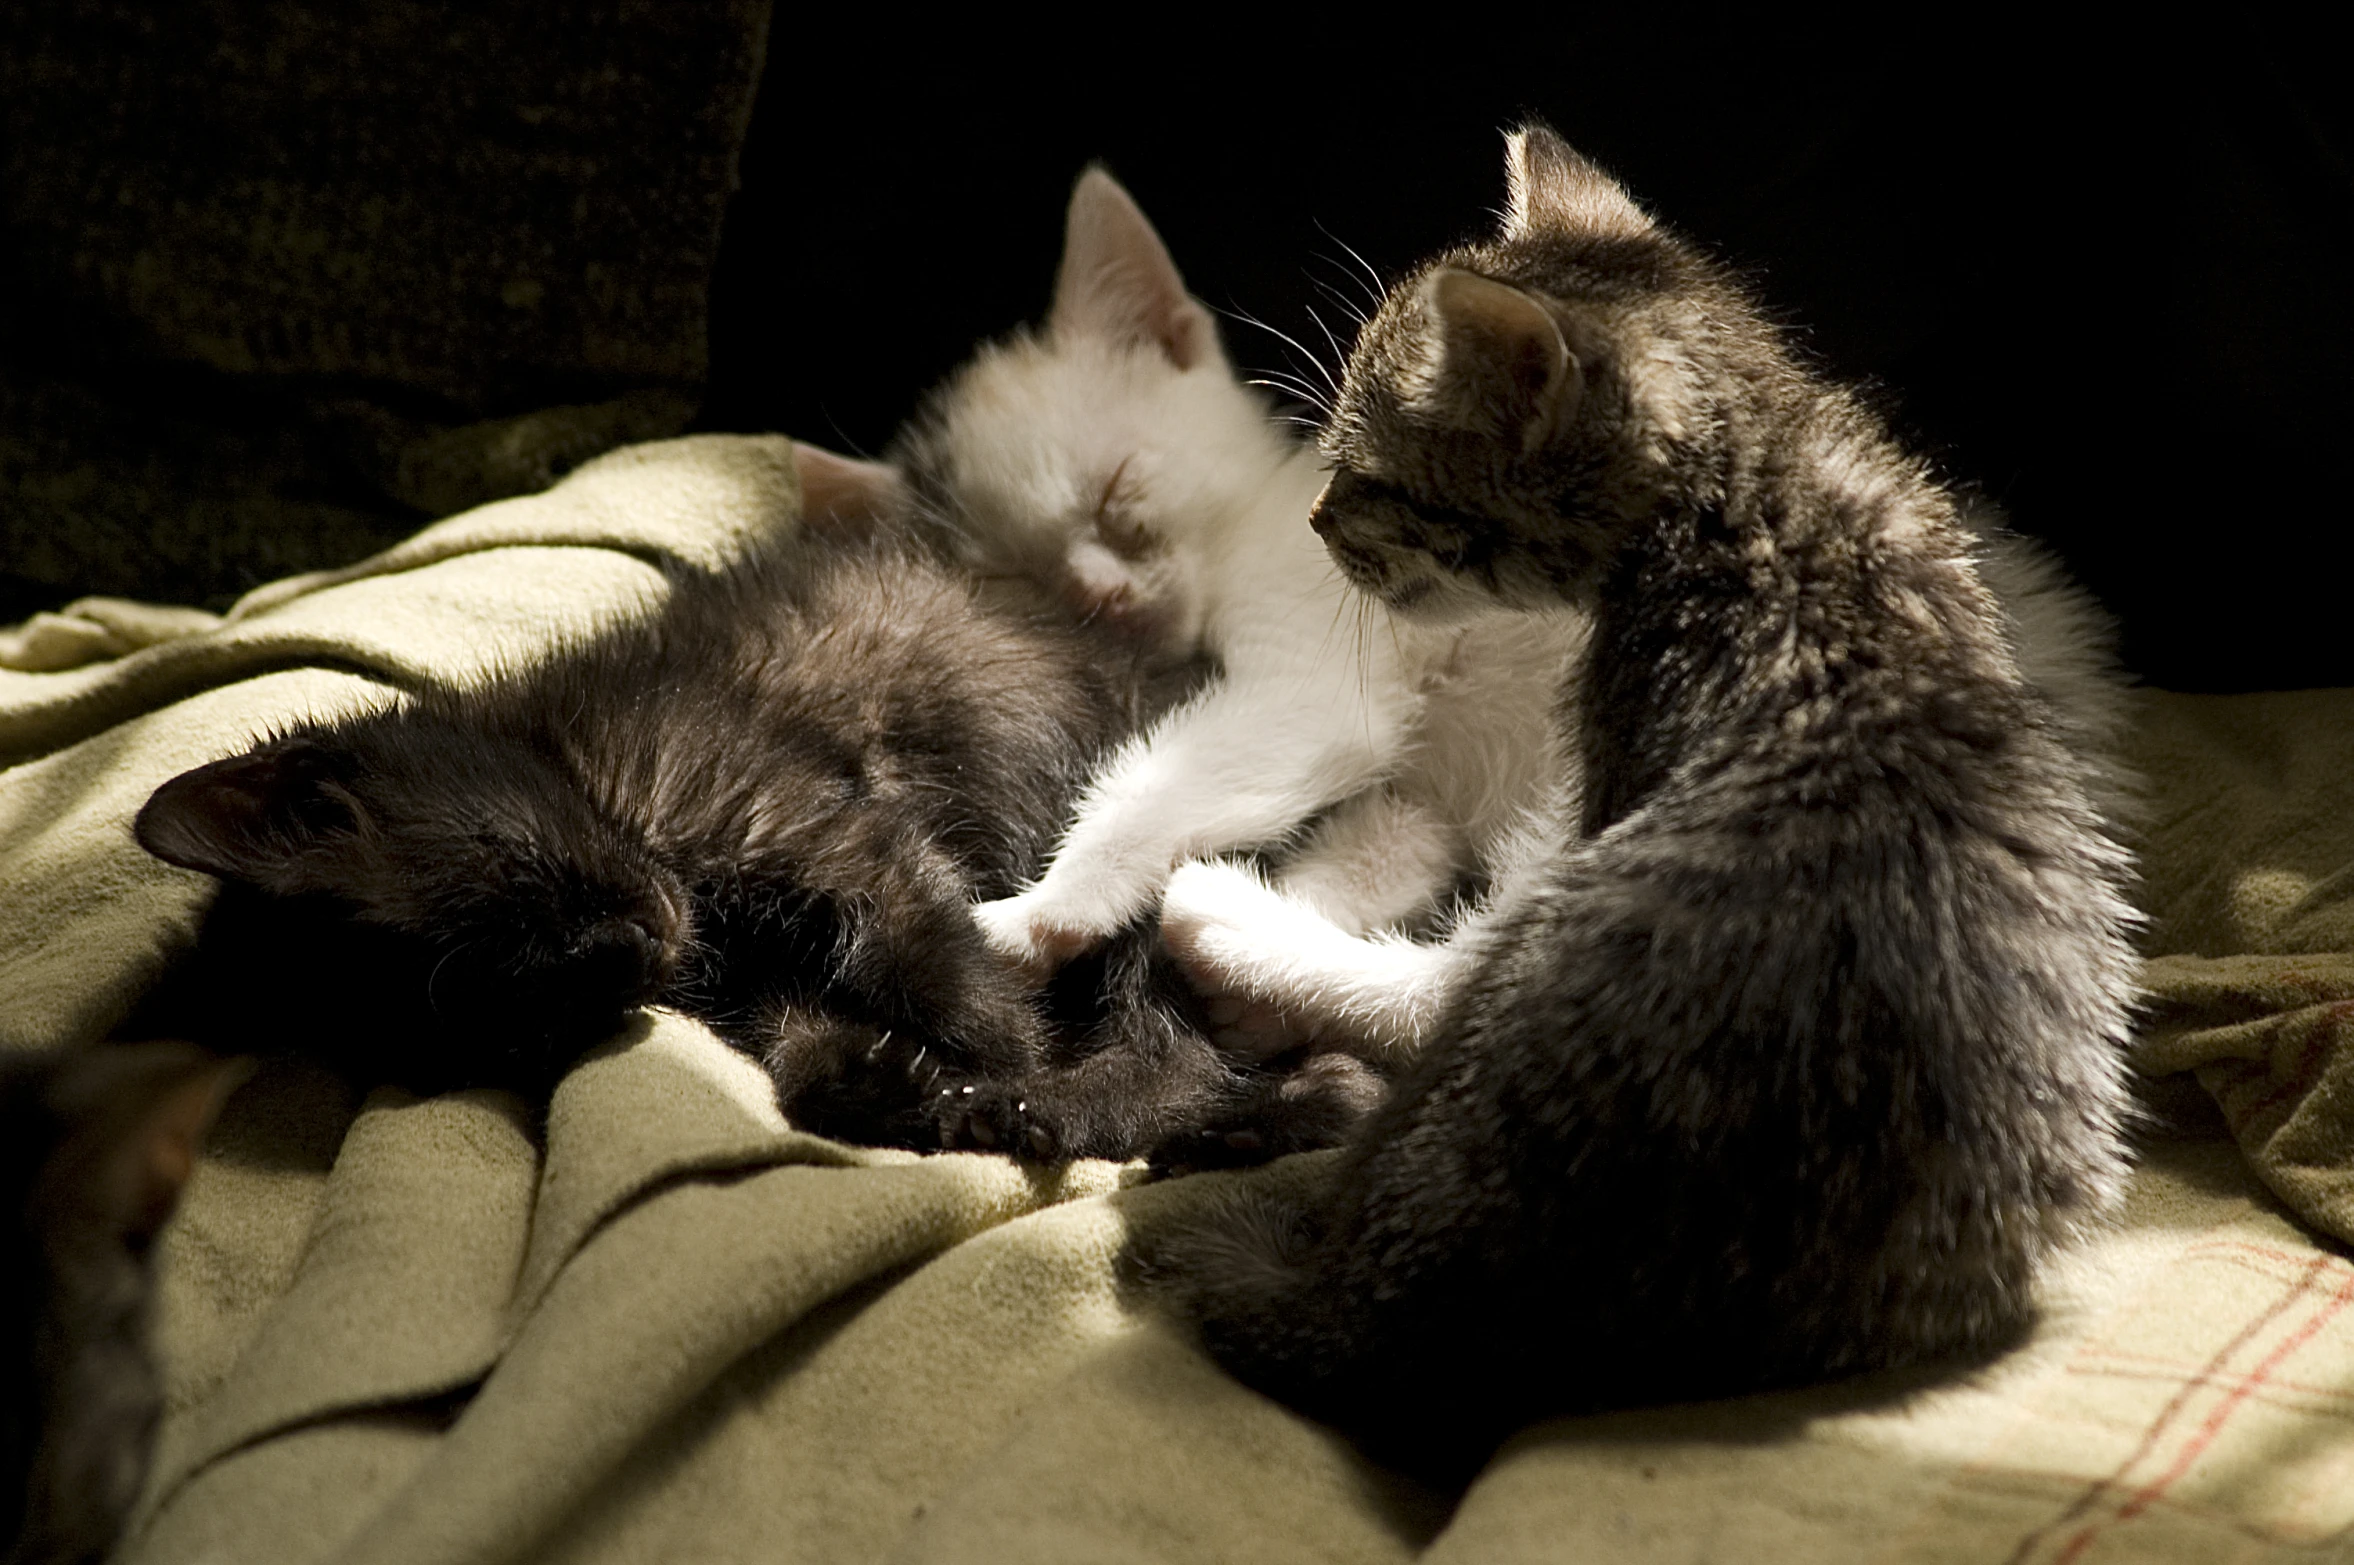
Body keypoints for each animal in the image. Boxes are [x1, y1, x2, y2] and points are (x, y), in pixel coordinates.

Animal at [1148, 125, 2146, 1477]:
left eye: (1369, 475)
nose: (1311, 518)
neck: (1755, 460)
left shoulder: (1617, 750)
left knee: (1437, 989)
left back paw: (1226, 925)